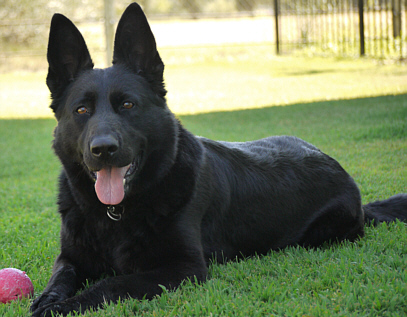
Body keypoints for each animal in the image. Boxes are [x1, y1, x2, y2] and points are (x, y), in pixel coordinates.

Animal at [29, 1, 407, 314]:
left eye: (127, 105)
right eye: (81, 110)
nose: (103, 149)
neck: (115, 215)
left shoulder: (182, 268)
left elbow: (112, 283)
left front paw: (64, 306)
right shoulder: (70, 257)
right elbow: (59, 277)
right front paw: (49, 299)